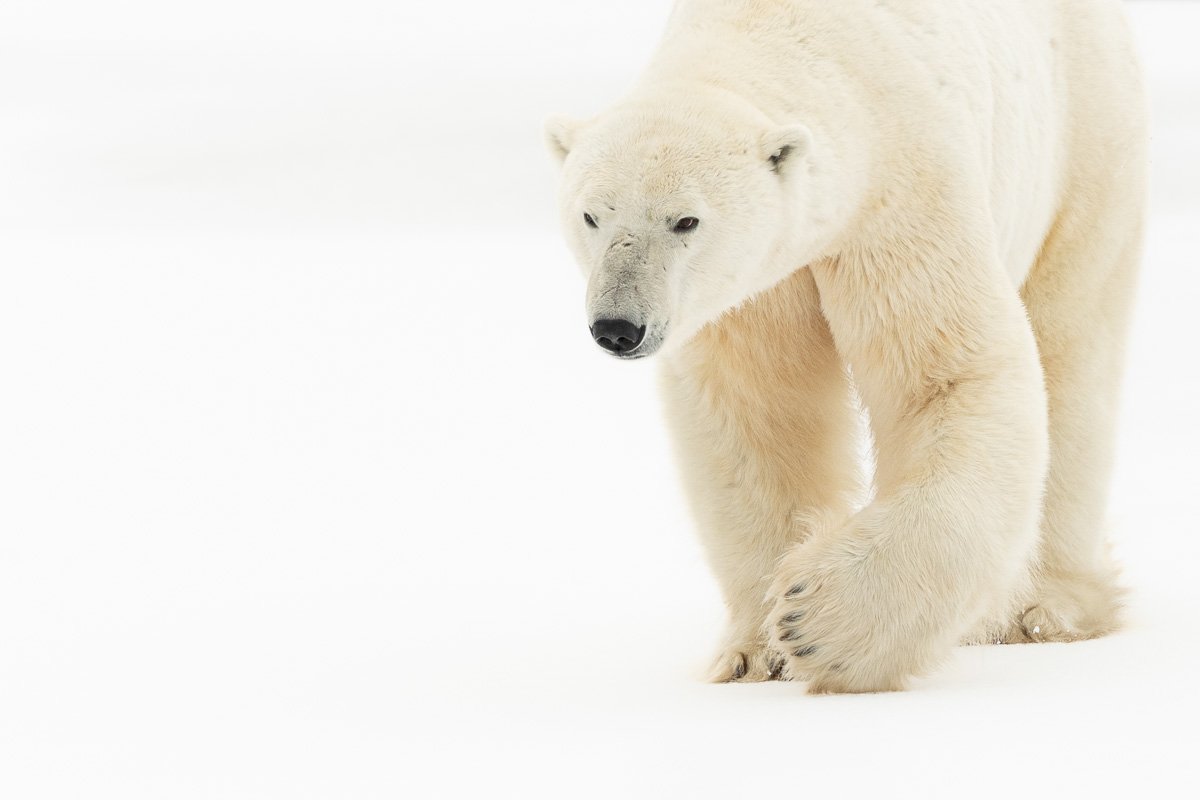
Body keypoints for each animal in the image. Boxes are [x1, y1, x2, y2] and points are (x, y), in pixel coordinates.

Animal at [544, 0, 1146, 693]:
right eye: (591, 215)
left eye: (685, 220)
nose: (619, 326)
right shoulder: (755, 287)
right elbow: (757, 414)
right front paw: (755, 653)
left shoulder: (900, 190)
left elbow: (946, 375)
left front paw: (818, 624)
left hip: (1083, 136)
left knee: (1072, 345)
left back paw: (1045, 608)